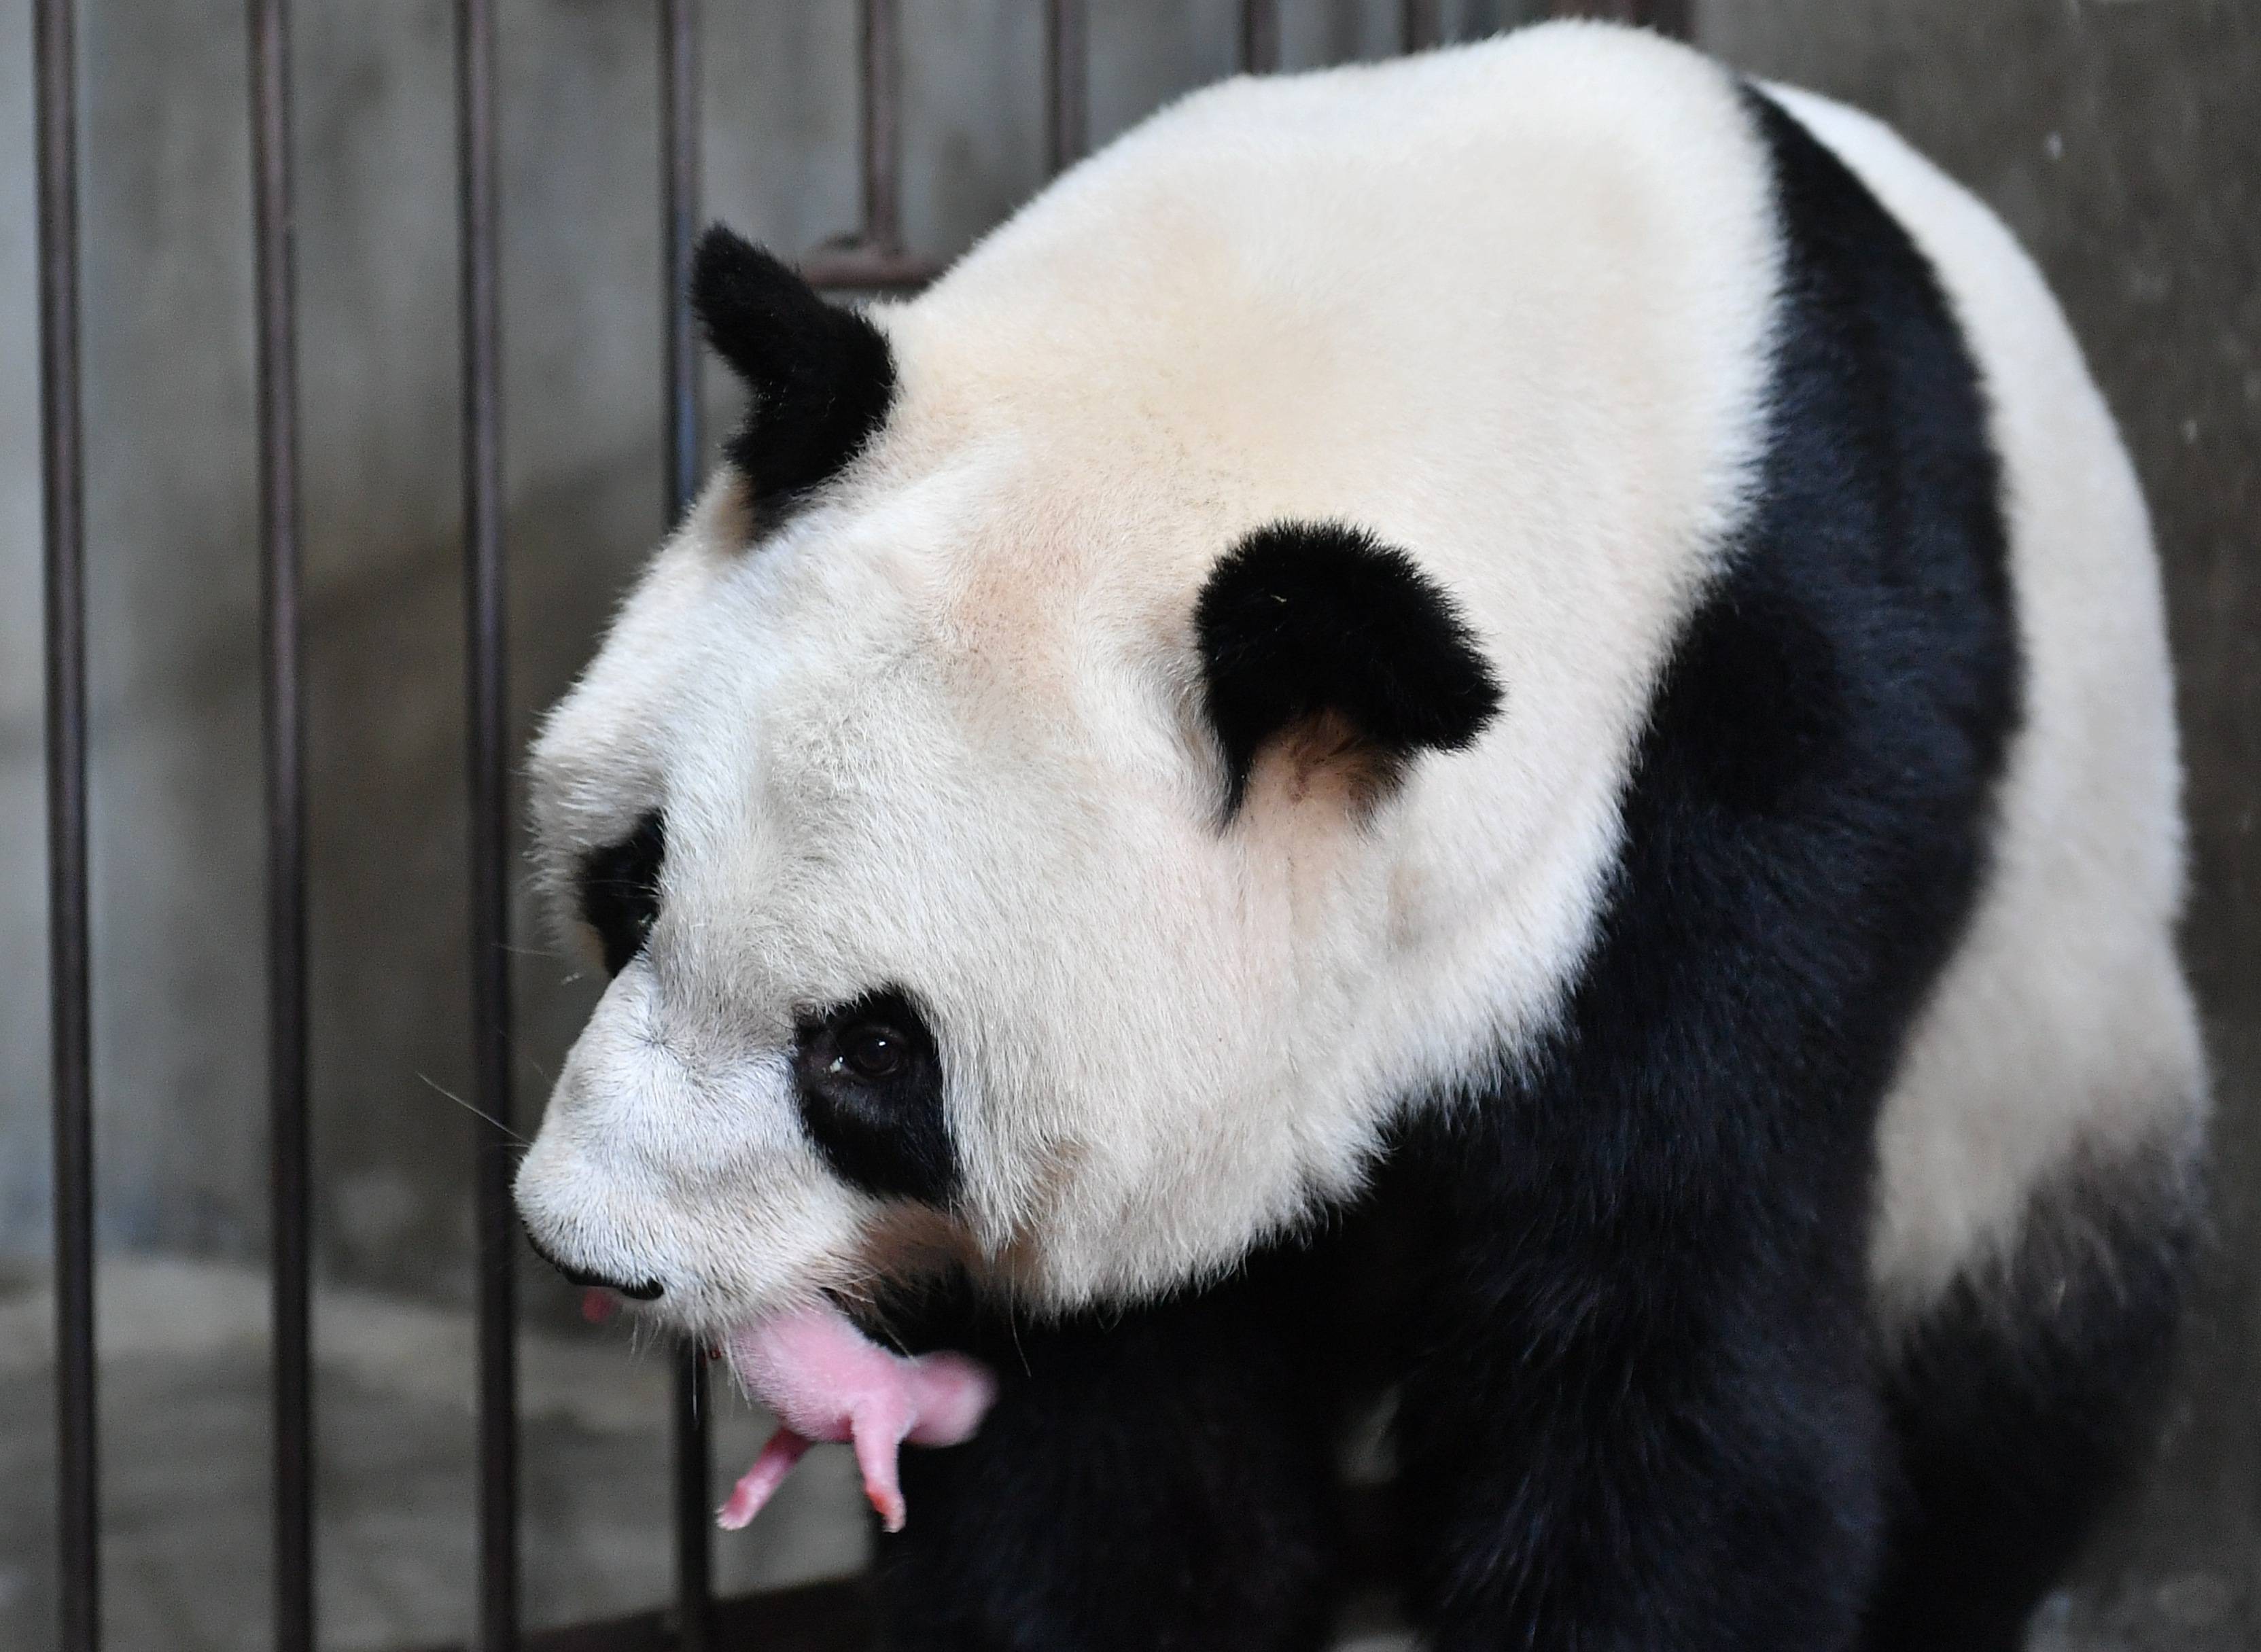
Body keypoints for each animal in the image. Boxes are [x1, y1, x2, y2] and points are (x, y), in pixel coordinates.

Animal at [508, 22, 2207, 1652]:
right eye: (634, 886)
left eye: (868, 1055)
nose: (592, 1248)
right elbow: (1122, 1425)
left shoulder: (1754, 756)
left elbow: (1656, 1325)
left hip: (2045, 1033)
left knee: (2020, 1374)